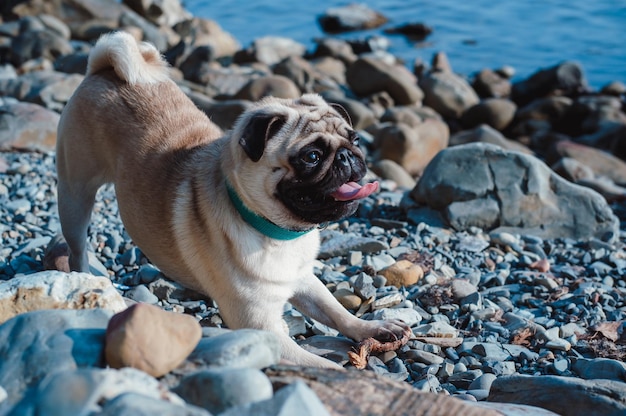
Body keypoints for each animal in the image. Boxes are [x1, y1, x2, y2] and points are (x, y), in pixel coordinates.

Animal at [57, 31, 410, 368]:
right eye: (311, 157)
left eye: (355, 140)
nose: (347, 157)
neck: (280, 234)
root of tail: (103, 70)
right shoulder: (262, 328)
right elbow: (326, 367)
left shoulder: (305, 280)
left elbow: (336, 311)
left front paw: (373, 329)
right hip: (74, 196)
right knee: (77, 248)